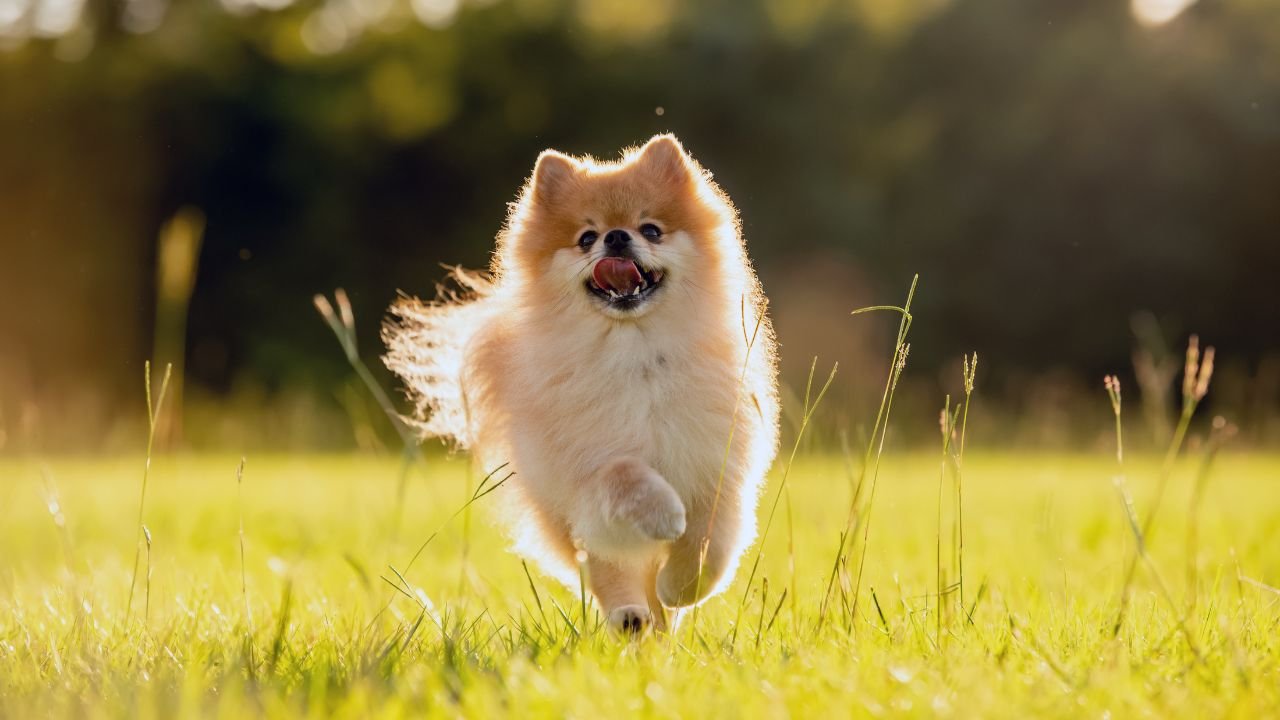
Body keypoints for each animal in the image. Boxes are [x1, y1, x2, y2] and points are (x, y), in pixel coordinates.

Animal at [381, 133, 778, 627]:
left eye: (651, 229)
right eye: (586, 238)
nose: (616, 236)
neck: (635, 355)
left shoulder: (715, 464)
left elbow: (711, 545)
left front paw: (681, 588)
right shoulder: (583, 471)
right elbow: (624, 473)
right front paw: (665, 514)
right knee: (609, 573)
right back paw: (630, 616)